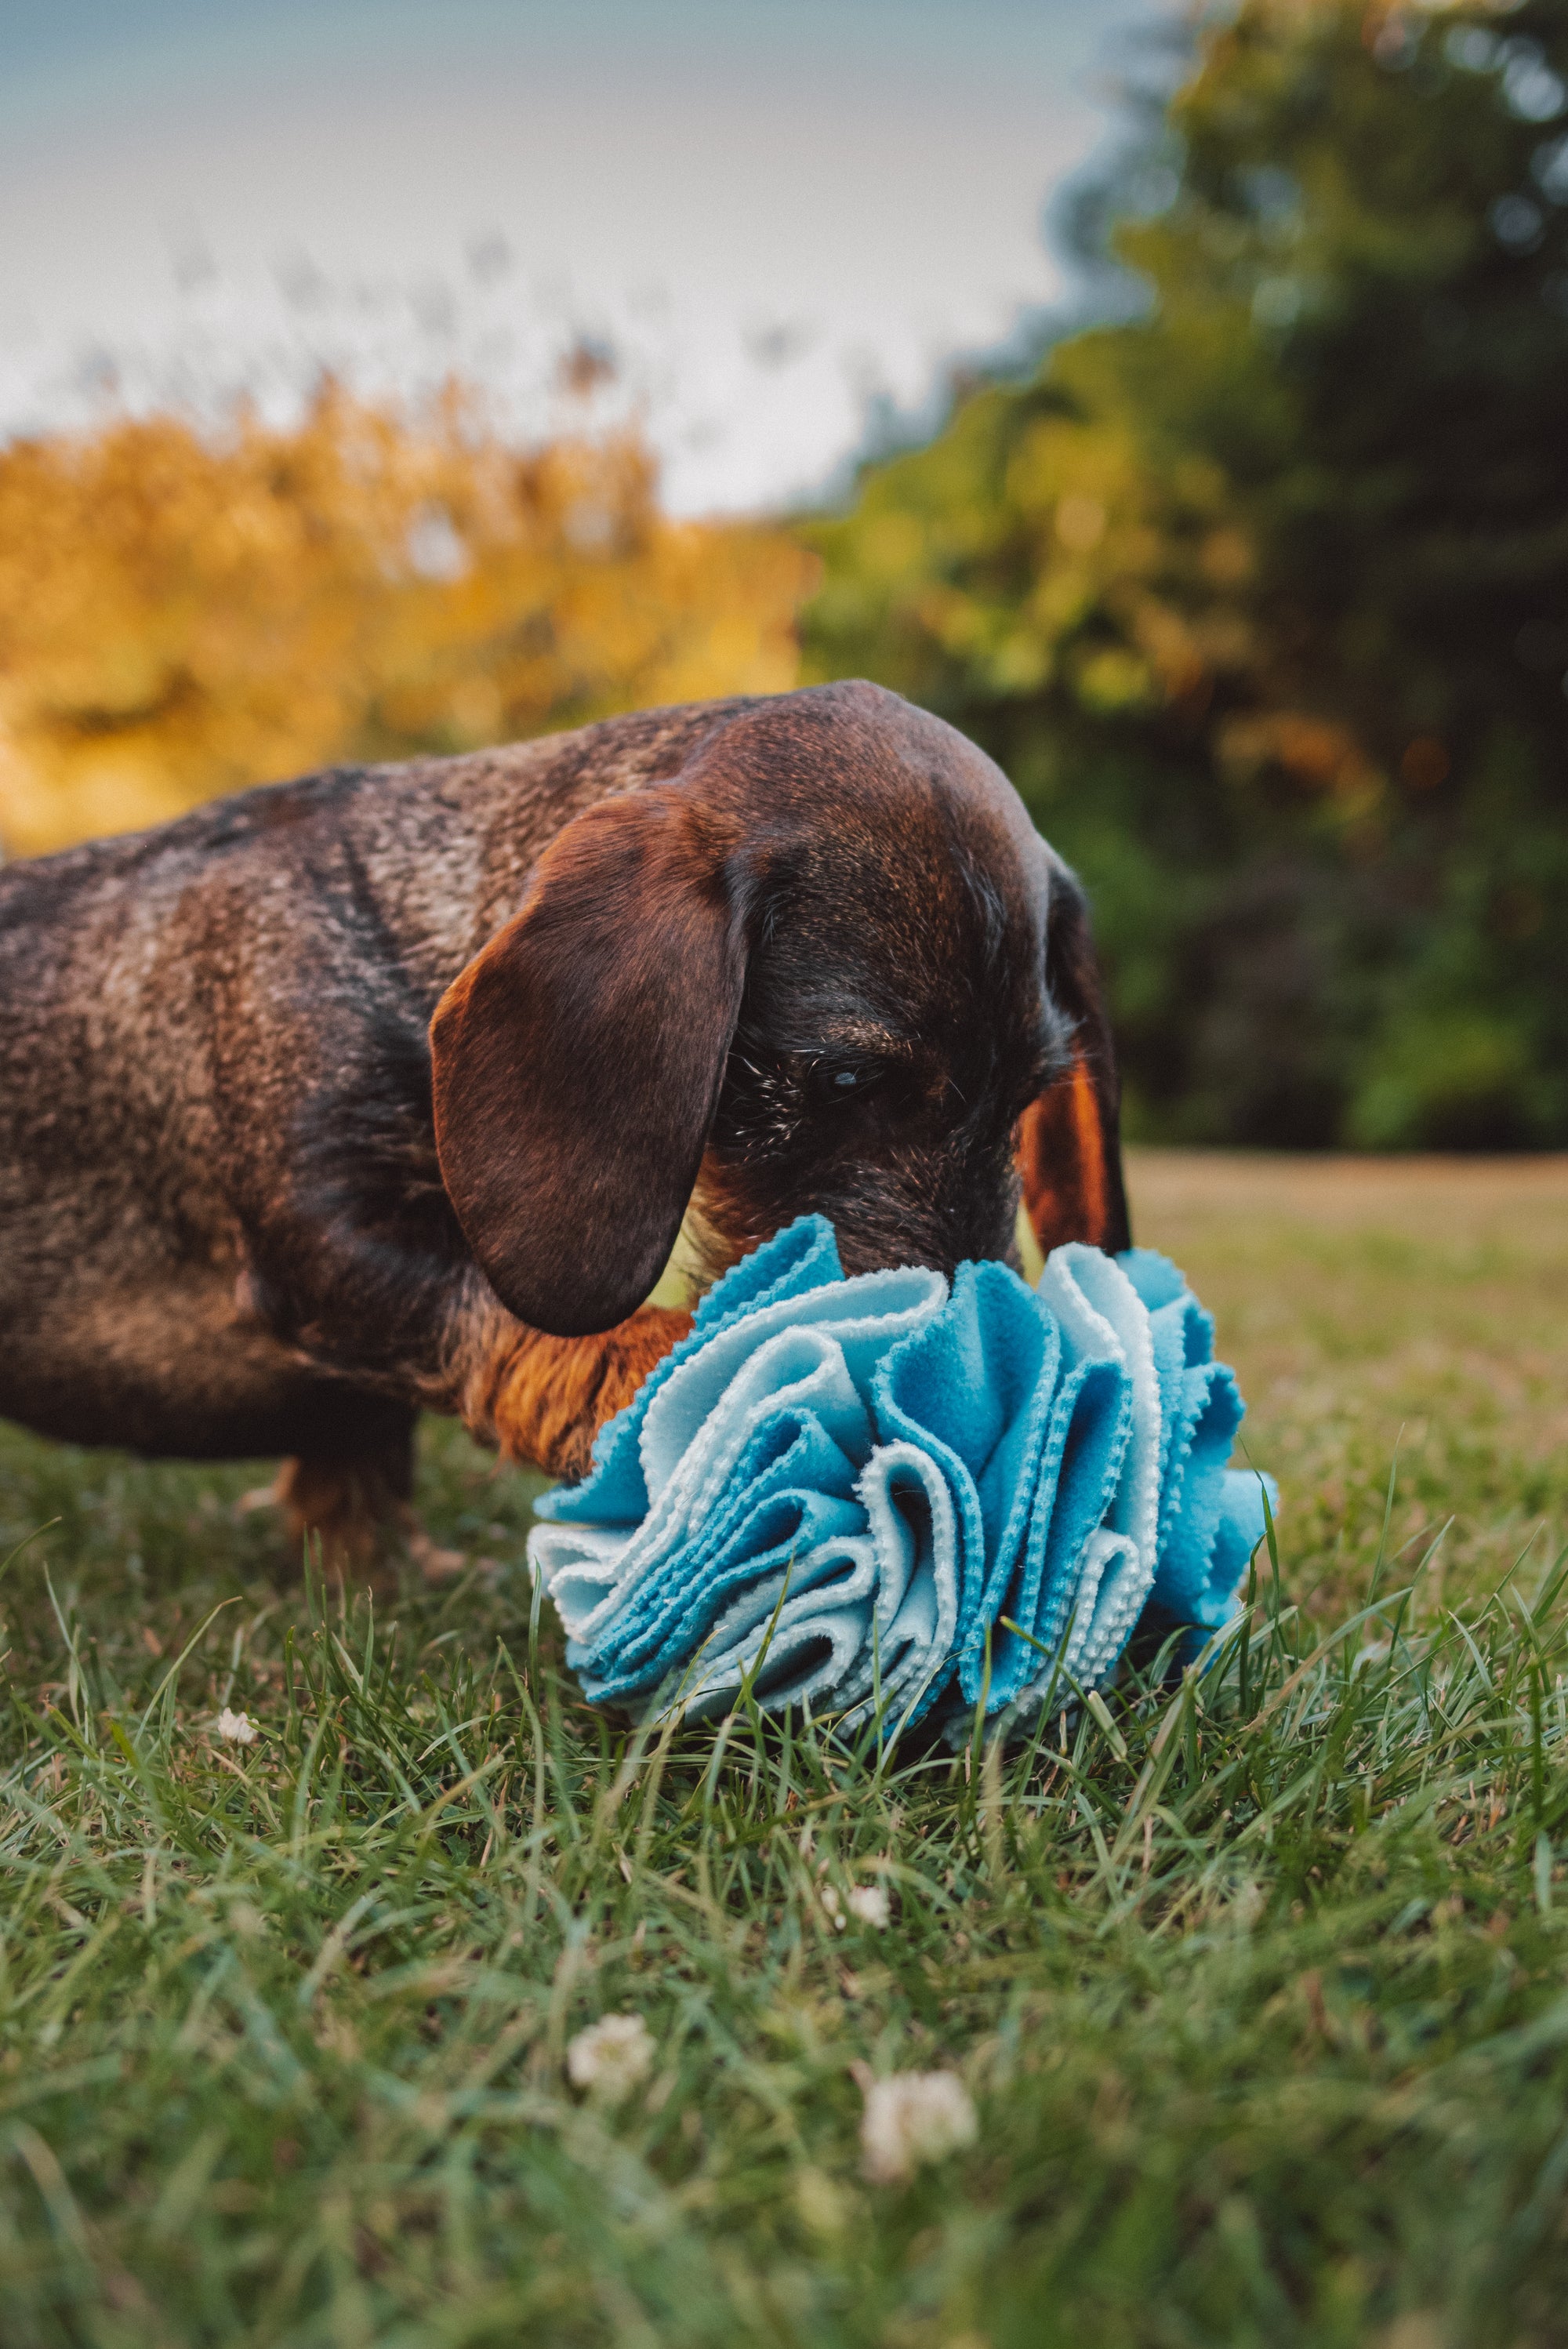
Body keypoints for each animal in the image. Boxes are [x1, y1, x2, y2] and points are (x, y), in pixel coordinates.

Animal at [0, 681, 1127, 1559]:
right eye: (845, 1077)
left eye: (1028, 1094)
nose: (972, 1410)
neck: (408, 925)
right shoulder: (325, 1239)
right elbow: (549, 1332)